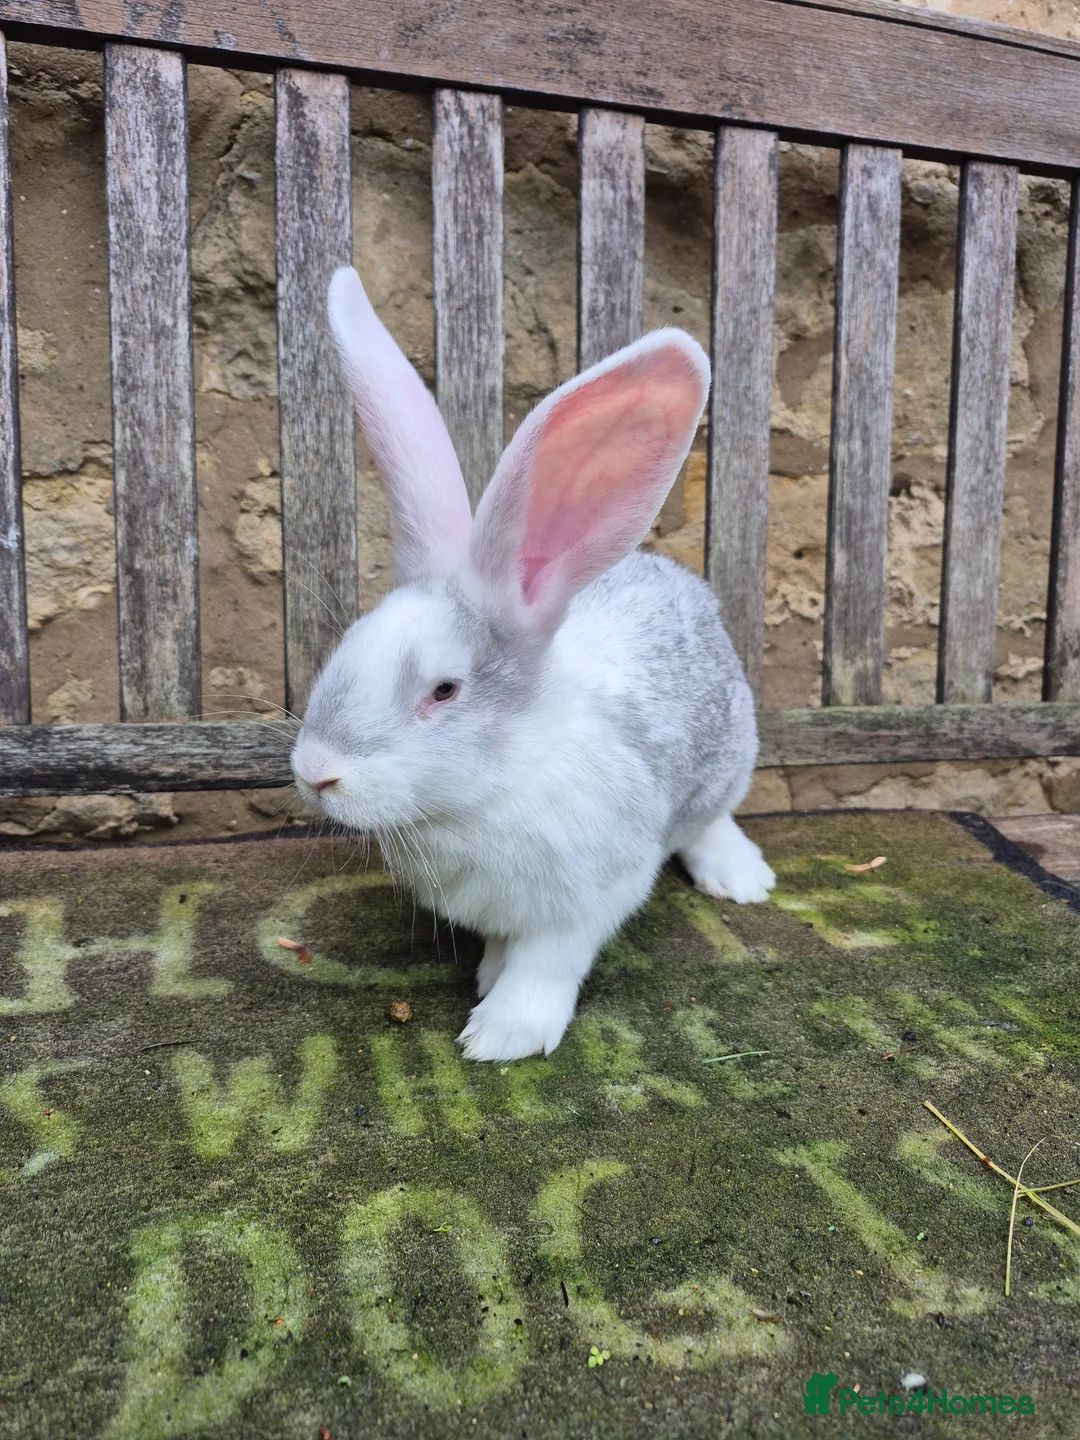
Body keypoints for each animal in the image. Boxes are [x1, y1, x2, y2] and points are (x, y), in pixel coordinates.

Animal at [290, 265, 776, 1063]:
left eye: (444, 690)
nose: (315, 773)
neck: (486, 790)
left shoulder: (590, 896)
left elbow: (546, 965)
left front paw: (501, 1034)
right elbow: (500, 945)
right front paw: (487, 976)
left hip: (727, 761)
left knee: (713, 820)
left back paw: (742, 881)